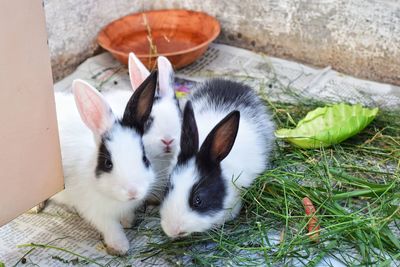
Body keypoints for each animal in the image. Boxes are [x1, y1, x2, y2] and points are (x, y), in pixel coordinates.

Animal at [52, 70, 159, 255]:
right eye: (108, 163)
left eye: (144, 158)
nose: (133, 192)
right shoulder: (96, 213)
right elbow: (111, 227)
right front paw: (120, 246)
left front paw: (128, 222)